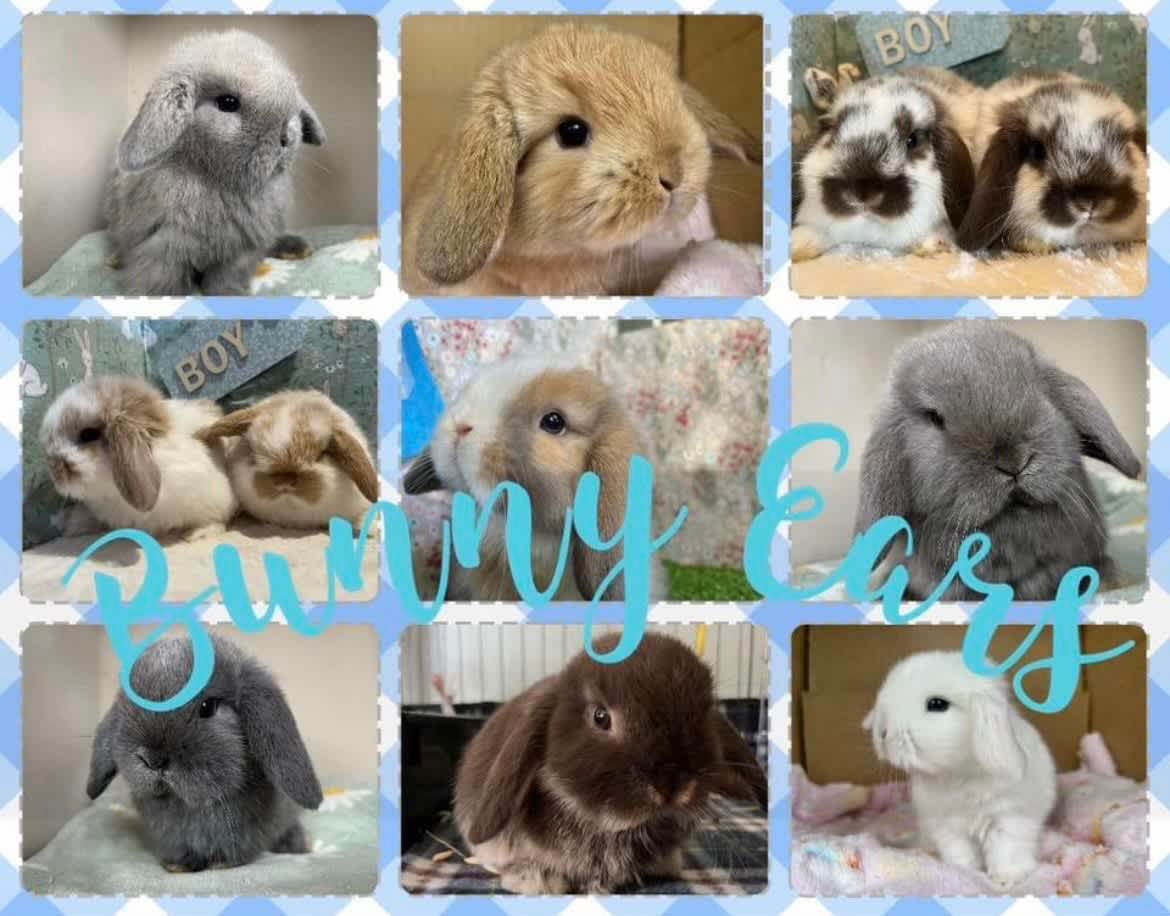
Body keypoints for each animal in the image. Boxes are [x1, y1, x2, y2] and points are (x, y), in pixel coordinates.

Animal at [39, 376, 238, 540]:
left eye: (88, 434)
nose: (55, 472)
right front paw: (68, 525)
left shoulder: (213, 498)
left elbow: (215, 519)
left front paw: (198, 533)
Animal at [105, 30, 326, 296]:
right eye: (228, 102)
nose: (286, 137)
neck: (216, 179)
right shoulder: (161, 248)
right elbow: (161, 281)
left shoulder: (240, 250)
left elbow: (225, 279)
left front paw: (232, 295)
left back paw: (298, 247)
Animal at [863, 650, 1057, 885]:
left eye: (937, 704)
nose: (882, 733)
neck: (957, 773)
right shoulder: (948, 827)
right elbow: (960, 853)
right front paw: (964, 872)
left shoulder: (1009, 818)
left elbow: (1006, 851)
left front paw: (1006, 879)